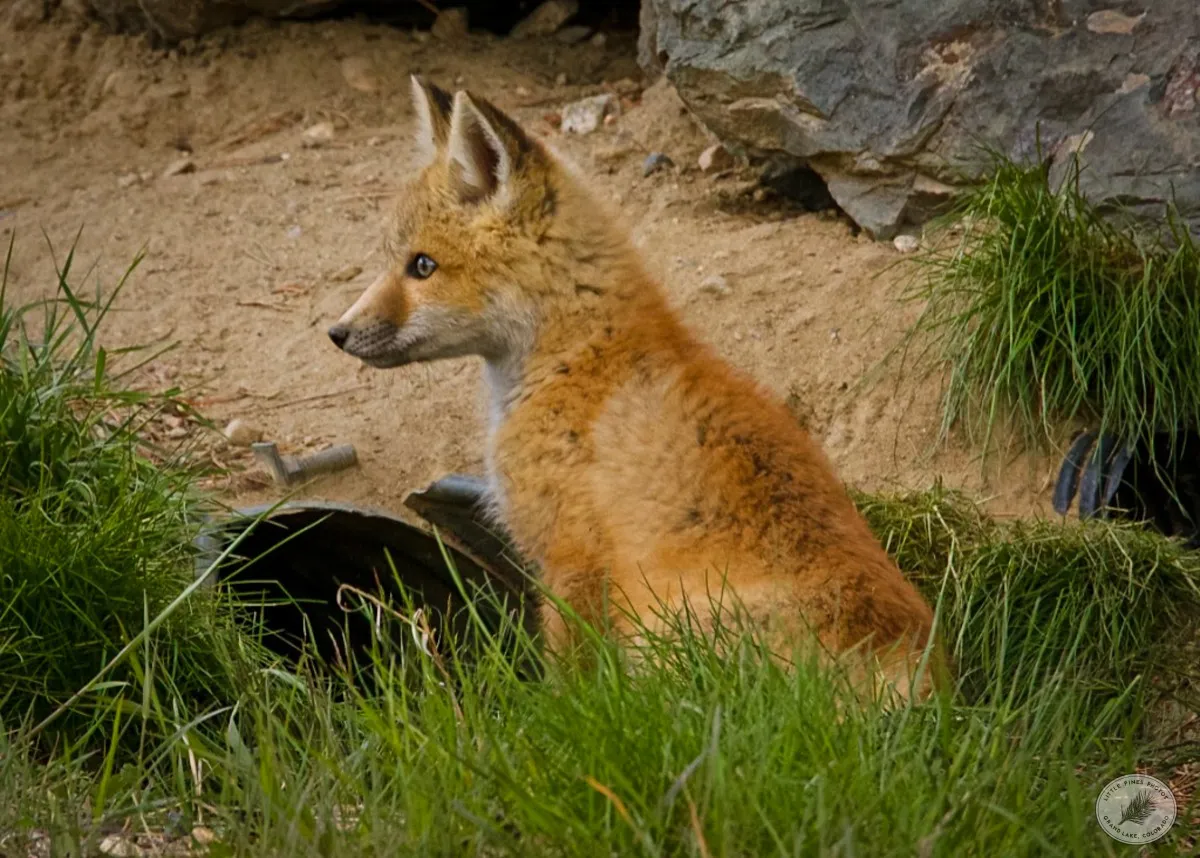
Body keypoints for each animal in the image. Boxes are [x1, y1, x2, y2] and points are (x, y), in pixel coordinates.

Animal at [328, 77, 945, 701]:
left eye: (422, 266)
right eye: (396, 261)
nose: (338, 333)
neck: (575, 359)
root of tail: (919, 683)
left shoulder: (571, 559)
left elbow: (571, 688)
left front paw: (555, 716)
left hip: (661, 635)